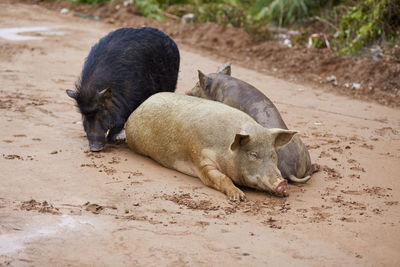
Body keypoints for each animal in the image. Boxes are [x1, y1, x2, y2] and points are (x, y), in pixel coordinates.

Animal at [125, 92, 296, 201]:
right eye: (253, 155)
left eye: (273, 155)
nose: (282, 183)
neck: (226, 149)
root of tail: (140, 105)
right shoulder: (201, 159)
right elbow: (221, 177)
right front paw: (239, 198)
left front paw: (285, 195)